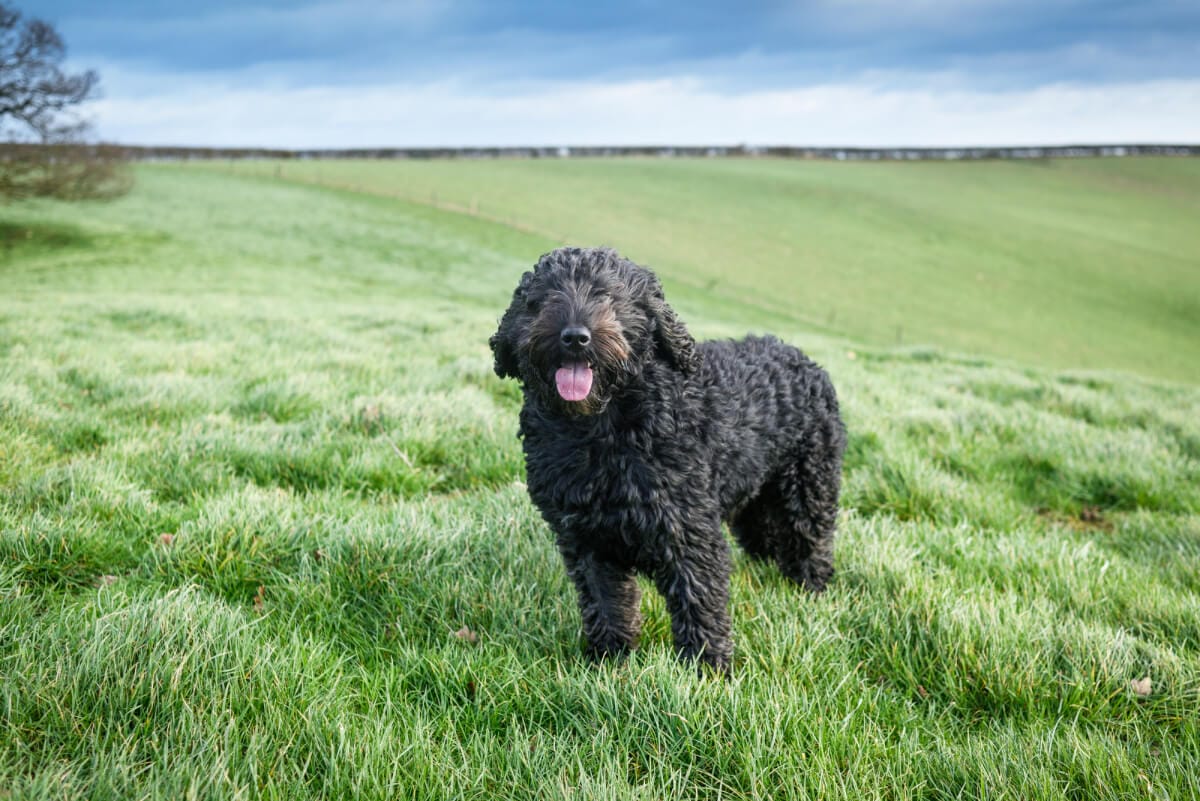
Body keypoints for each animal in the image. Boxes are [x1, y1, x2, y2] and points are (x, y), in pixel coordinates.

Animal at [487, 247, 844, 671]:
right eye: (542, 299)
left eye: (610, 296)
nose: (574, 336)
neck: (602, 429)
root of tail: (806, 361)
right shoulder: (586, 539)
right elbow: (607, 603)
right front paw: (609, 660)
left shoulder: (688, 530)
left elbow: (698, 599)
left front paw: (708, 669)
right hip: (755, 494)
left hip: (808, 484)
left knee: (811, 540)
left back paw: (811, 591)